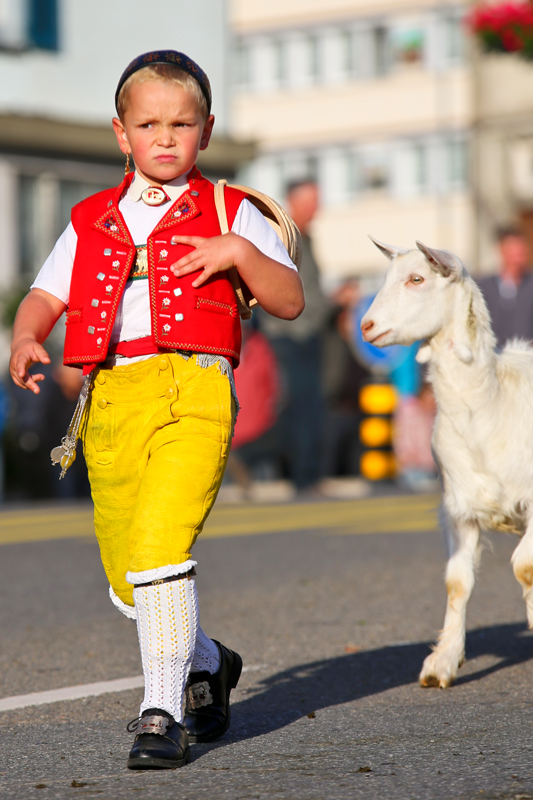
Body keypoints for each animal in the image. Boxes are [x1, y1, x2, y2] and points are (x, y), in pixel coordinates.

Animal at [362, 238, 533, 688]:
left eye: (416, 278)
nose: (366, 326)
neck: (489, 406)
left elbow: (523, 566)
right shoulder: (459, 508)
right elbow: (458, 583)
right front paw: (442, 662)